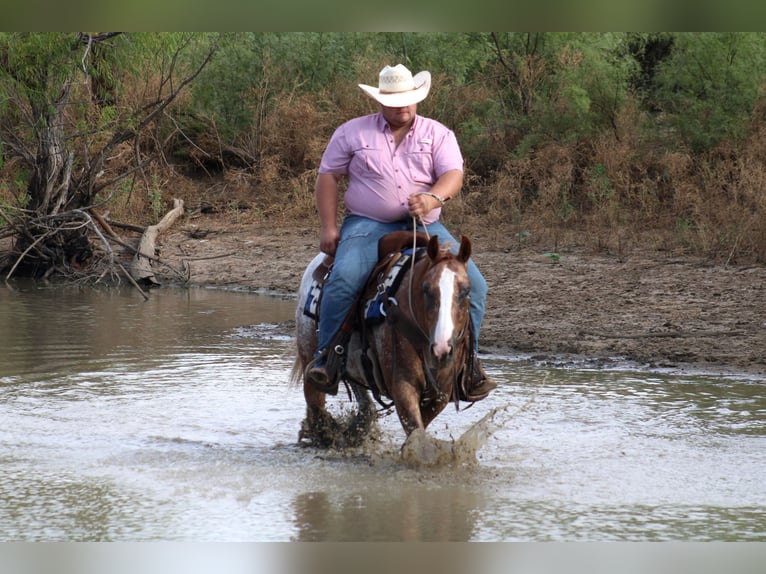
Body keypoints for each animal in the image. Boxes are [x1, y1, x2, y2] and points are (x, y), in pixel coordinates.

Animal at [292, 233, 474, 450]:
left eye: (466, 291)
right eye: (426, 289)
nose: (441, 349)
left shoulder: (441, 394)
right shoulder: (403, 388)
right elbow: (416, 433)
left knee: (364, 405)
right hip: (309, 360)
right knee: (316, 406)